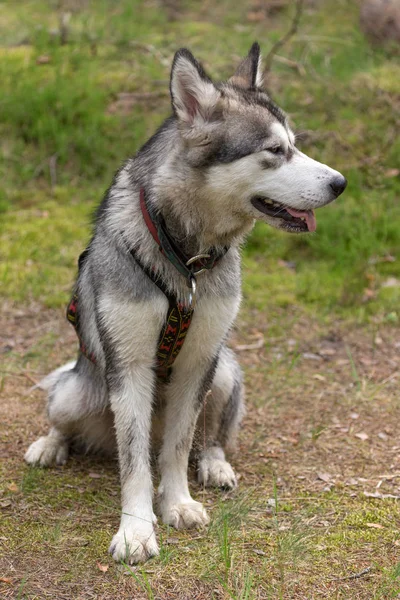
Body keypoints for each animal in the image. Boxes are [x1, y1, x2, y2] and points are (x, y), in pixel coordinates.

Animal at [24, 42, 346, 564]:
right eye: (274, 151)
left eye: (294, 144)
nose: (340, 183)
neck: (187, 257)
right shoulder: (130, 366)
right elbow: (136, 461)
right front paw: (136, 529)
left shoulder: (199, 364)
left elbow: (177, 446)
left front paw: (176, 503)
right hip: (75, 391)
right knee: (68, 419)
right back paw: (50, 445)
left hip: (226, 373)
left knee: (207, 438)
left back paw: (214, 465)